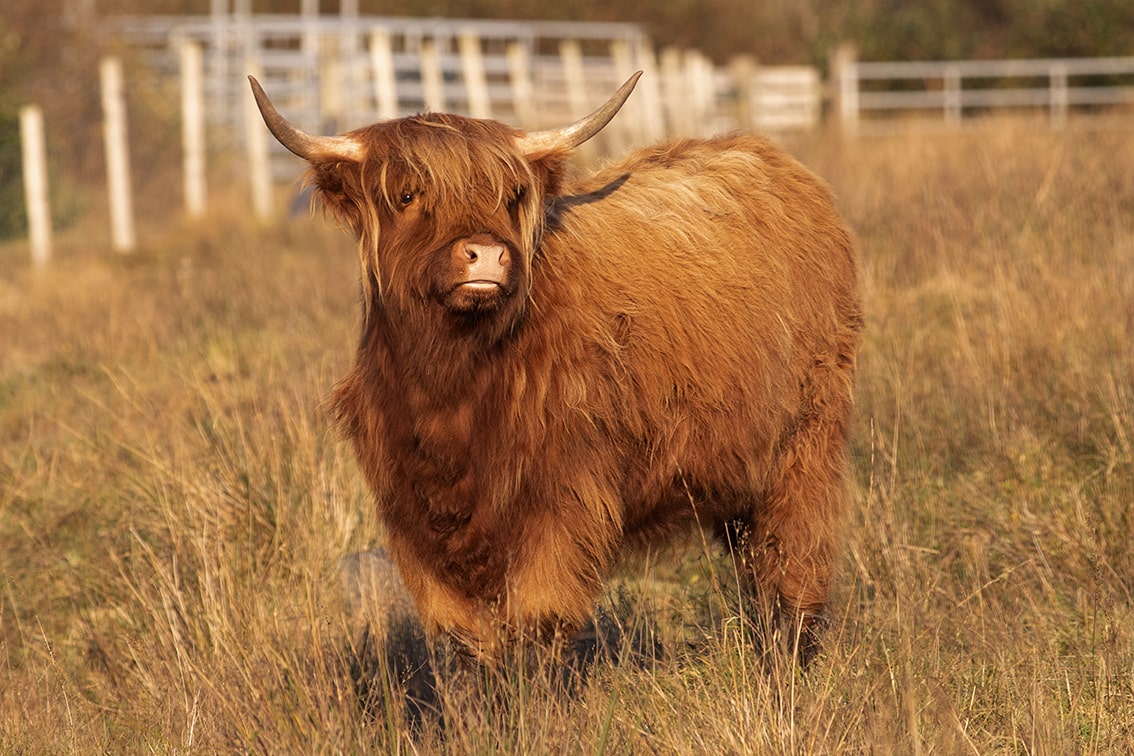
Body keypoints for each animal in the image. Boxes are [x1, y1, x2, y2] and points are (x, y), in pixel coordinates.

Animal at [252, 70, 861, 661]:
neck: (450, 388)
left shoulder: (561, 498)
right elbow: (464, 639)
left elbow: (538, 624)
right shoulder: (413, 512)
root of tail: (768, 157)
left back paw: (787, 661)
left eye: (510, 195)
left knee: (793, 561)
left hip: (805, 442)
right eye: (406, 194)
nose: (487, 254)